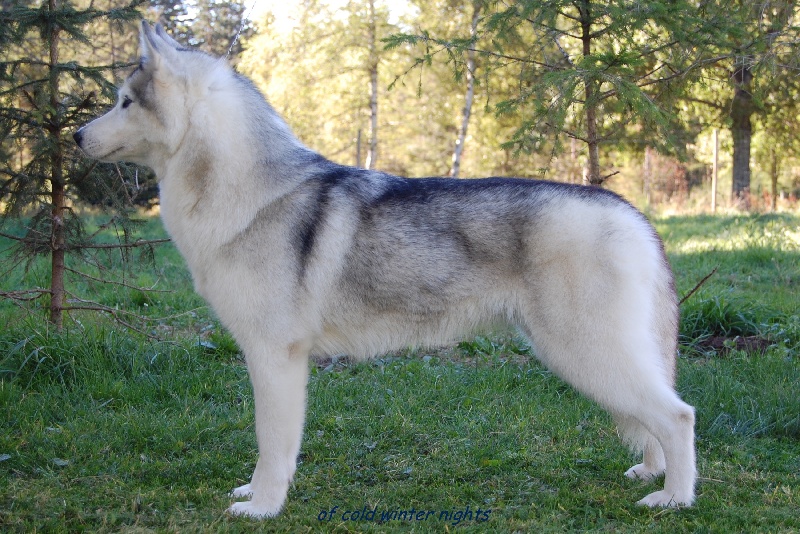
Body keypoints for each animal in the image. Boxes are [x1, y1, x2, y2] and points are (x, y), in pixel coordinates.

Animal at [74, 22, 697, 518]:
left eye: (124, 102)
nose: (75, 134)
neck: (247, 192)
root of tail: (631, 214)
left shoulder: (274, 357)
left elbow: (271, 445)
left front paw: (263, 507)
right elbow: (274, 449)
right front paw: (255, 494)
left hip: (584, 353)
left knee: (679, 415)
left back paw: (674, 496)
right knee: (657, 416)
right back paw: (653, 472)